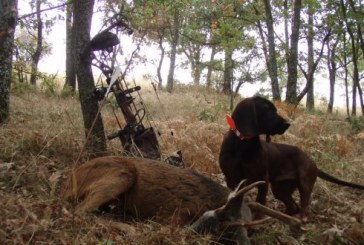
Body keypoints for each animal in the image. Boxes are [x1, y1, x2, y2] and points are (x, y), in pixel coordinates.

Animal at [62, 156, 300, 244]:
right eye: (226, 230)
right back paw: (130, 228)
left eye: (248, 230)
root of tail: (70, 180)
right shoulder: (173, 215)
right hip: (121, 173)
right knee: (79, 211)